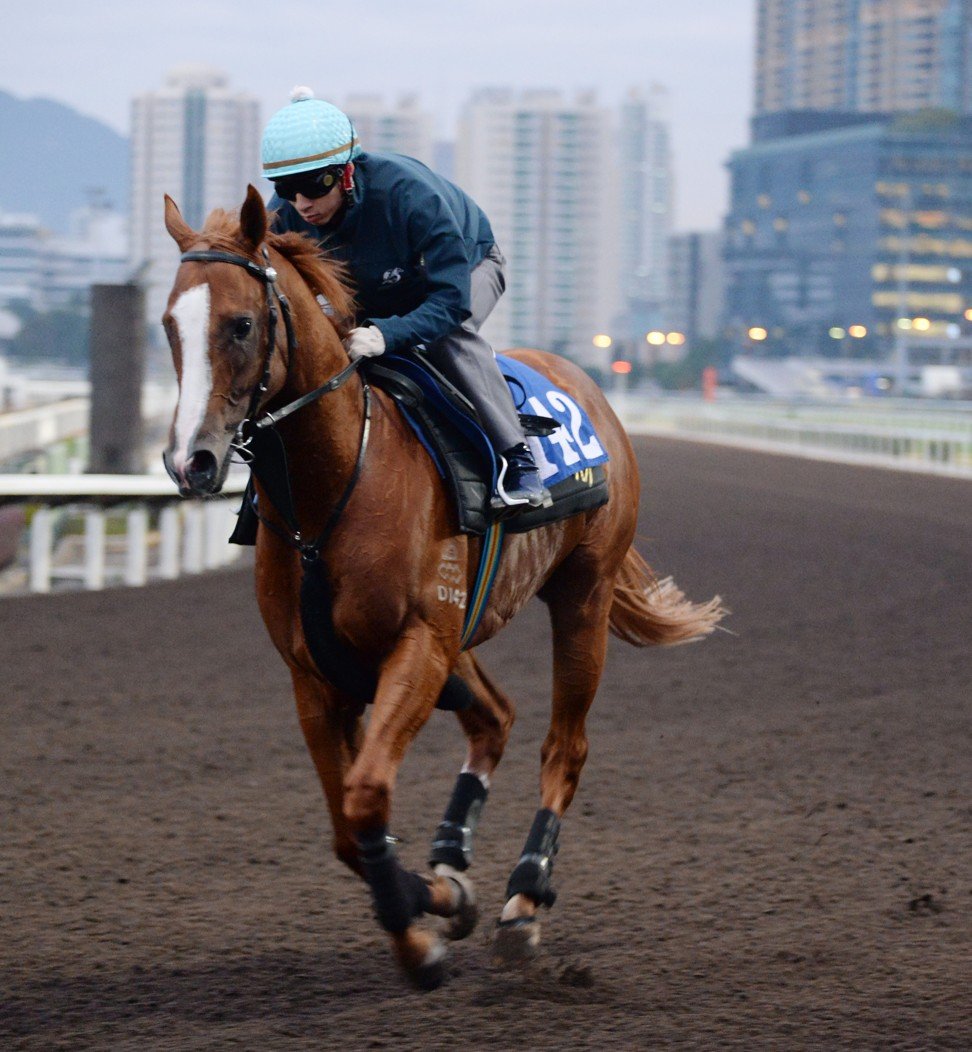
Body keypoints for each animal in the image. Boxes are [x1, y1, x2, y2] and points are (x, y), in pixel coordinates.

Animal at [160, 187, 719, 984]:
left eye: (241, 323)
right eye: (169, 324)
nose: (191, 462)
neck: (337, 483)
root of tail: (584, 384)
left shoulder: (418, 644)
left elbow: (366, 799)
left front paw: (420, 932)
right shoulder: (316, 674)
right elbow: (347, 830)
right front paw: (436, 903)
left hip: (581, 596)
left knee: (564, 745)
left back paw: (524, 899)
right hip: (466, 636)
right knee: (496, 717)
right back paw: (453, 860)